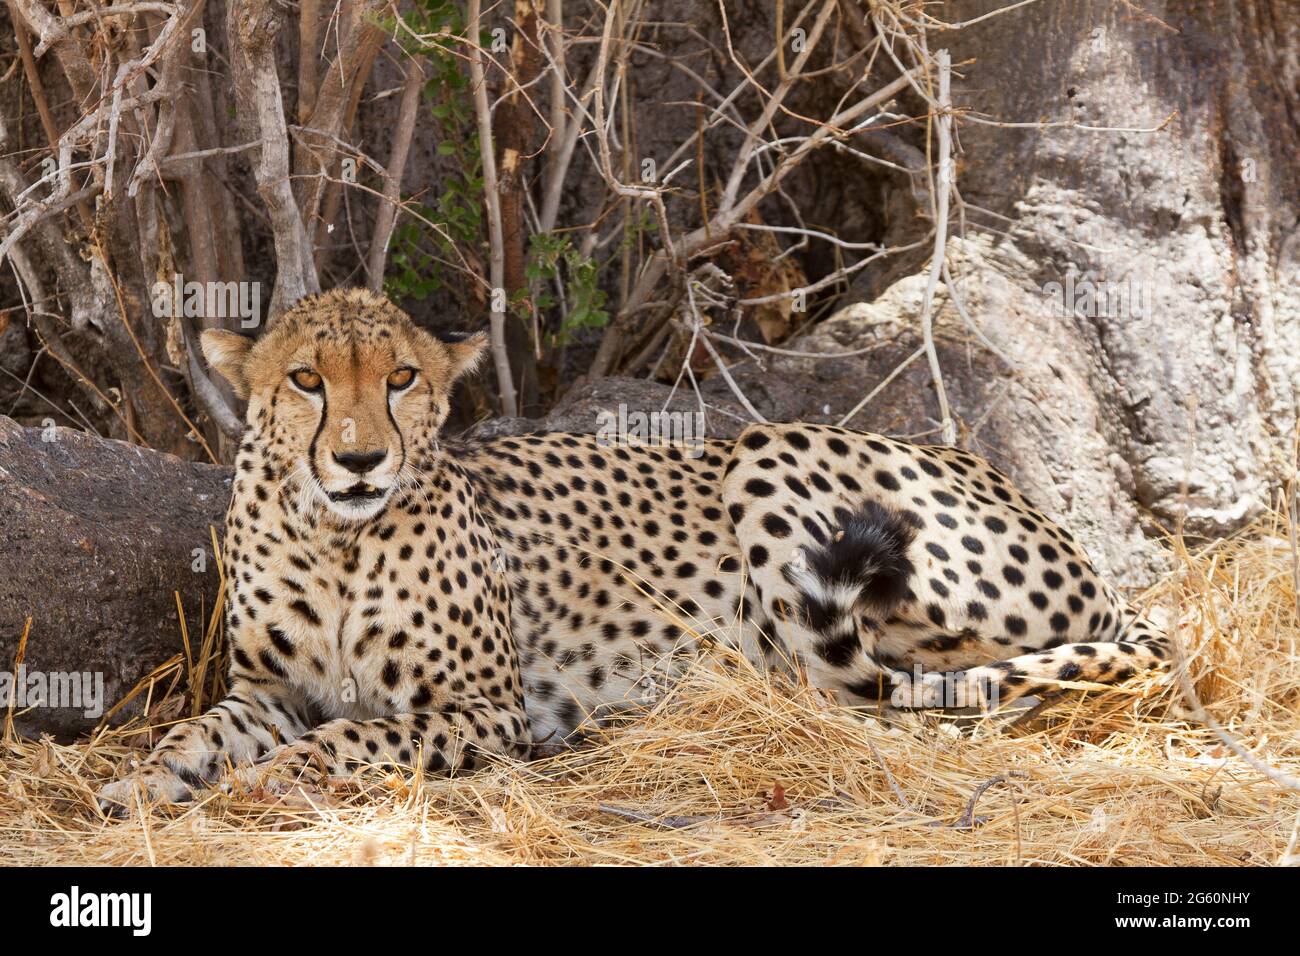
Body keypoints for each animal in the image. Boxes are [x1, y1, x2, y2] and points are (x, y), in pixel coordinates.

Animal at [96, 287, 1175, 811]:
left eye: (402, 377)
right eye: (307, 380)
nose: (361, 459)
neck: (334, 535)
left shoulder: (486, 707)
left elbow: (354, 736)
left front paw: (271, 779)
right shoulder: (268, 691)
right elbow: (198, 732)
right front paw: (141, 784)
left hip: (768, 453)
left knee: (876, 689)